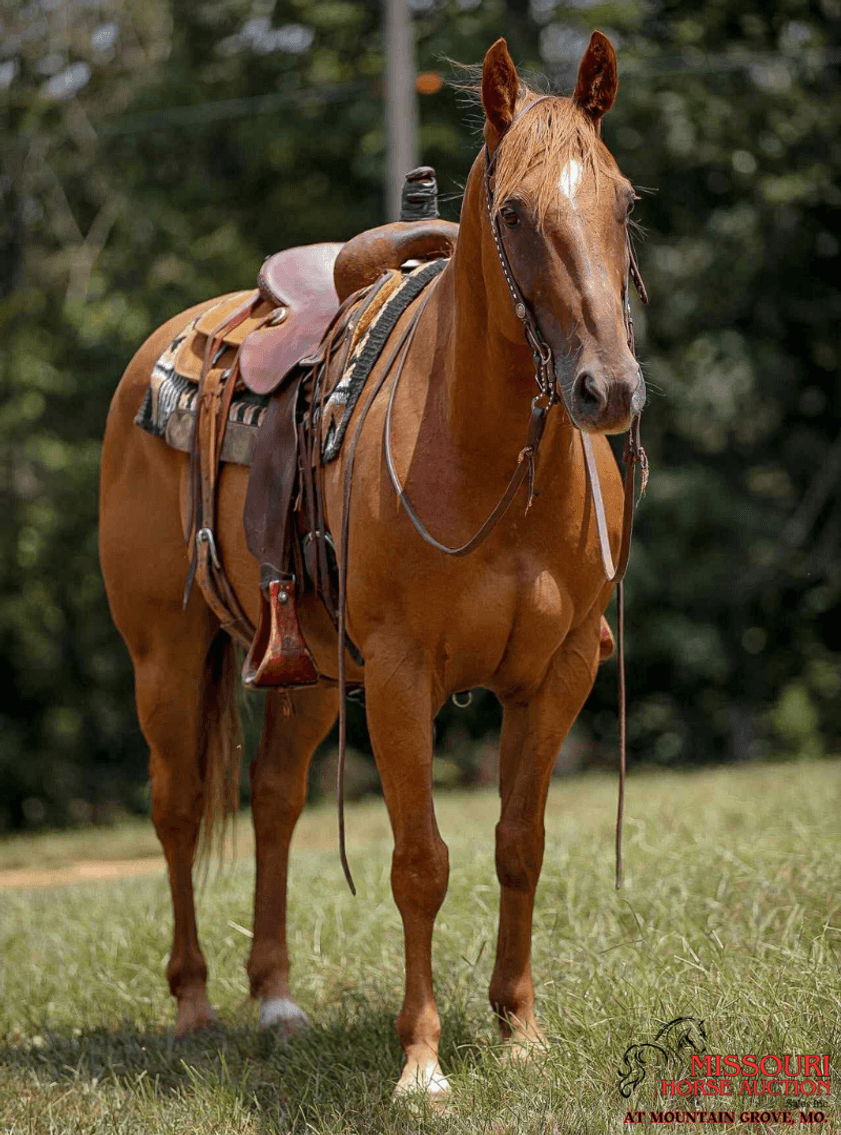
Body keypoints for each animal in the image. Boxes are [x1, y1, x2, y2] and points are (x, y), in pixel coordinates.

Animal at [99, 32, 645, 1098]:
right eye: (512, 212)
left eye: (624, 200)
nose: (606, 389)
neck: (491, 464)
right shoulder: (399, 675)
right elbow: (419, 861)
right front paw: (421, 1062)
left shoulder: (558, 672)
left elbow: (520, 844)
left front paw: (519, 1030)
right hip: (166, 657)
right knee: (178, 808)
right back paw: (193, 1006)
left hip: (307, 671)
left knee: (273, 798)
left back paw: (275, 1000)